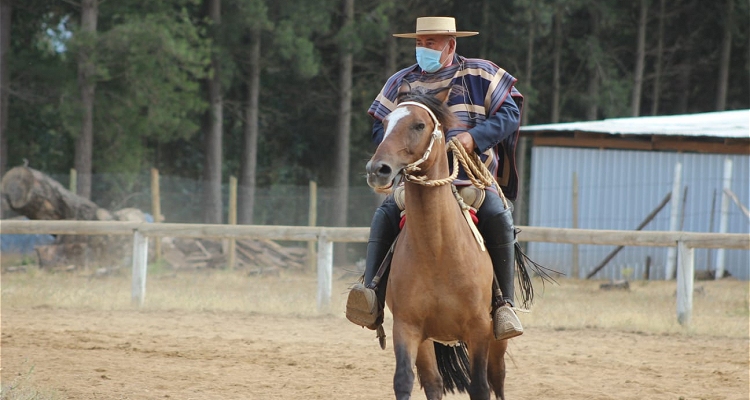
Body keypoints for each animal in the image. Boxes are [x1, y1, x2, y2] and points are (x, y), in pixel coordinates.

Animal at [368, 88, 516, 400]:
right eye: (385, 124)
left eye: (419, 125)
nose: (378, 169)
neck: (437, 251)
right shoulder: (408, 327)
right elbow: (404, 380)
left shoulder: (479, 329)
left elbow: (479, 386)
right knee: (433, 382)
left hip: (497, 341)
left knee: (496, 379)